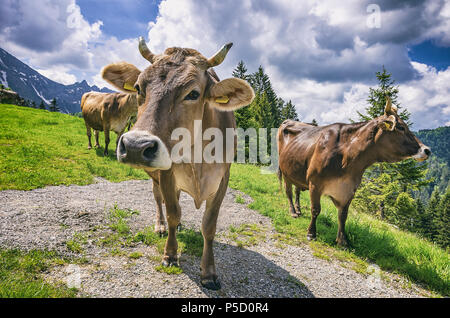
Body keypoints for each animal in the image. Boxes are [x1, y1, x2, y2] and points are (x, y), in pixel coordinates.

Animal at [102, 36, 255, 288]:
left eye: (193, 94)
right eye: (138, 87)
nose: (135, 146)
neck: (198, 157)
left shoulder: (223, 178)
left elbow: (209, 225)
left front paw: (209, 272)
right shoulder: (166, 172)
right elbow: (173, 212)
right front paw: (170, 254)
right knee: (159, 200)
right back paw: (161, 225)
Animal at [278, 98, 432, 247]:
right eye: (401, 127)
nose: (427, 150)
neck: (347, 158)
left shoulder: (349, 189)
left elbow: (343, 215)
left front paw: (342, 241)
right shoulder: (315, 183)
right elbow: (315, 209)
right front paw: (311, 233)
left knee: (297, 190)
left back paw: (298, 210)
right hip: (285, 172)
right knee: (289, 192)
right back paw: (293, 212)